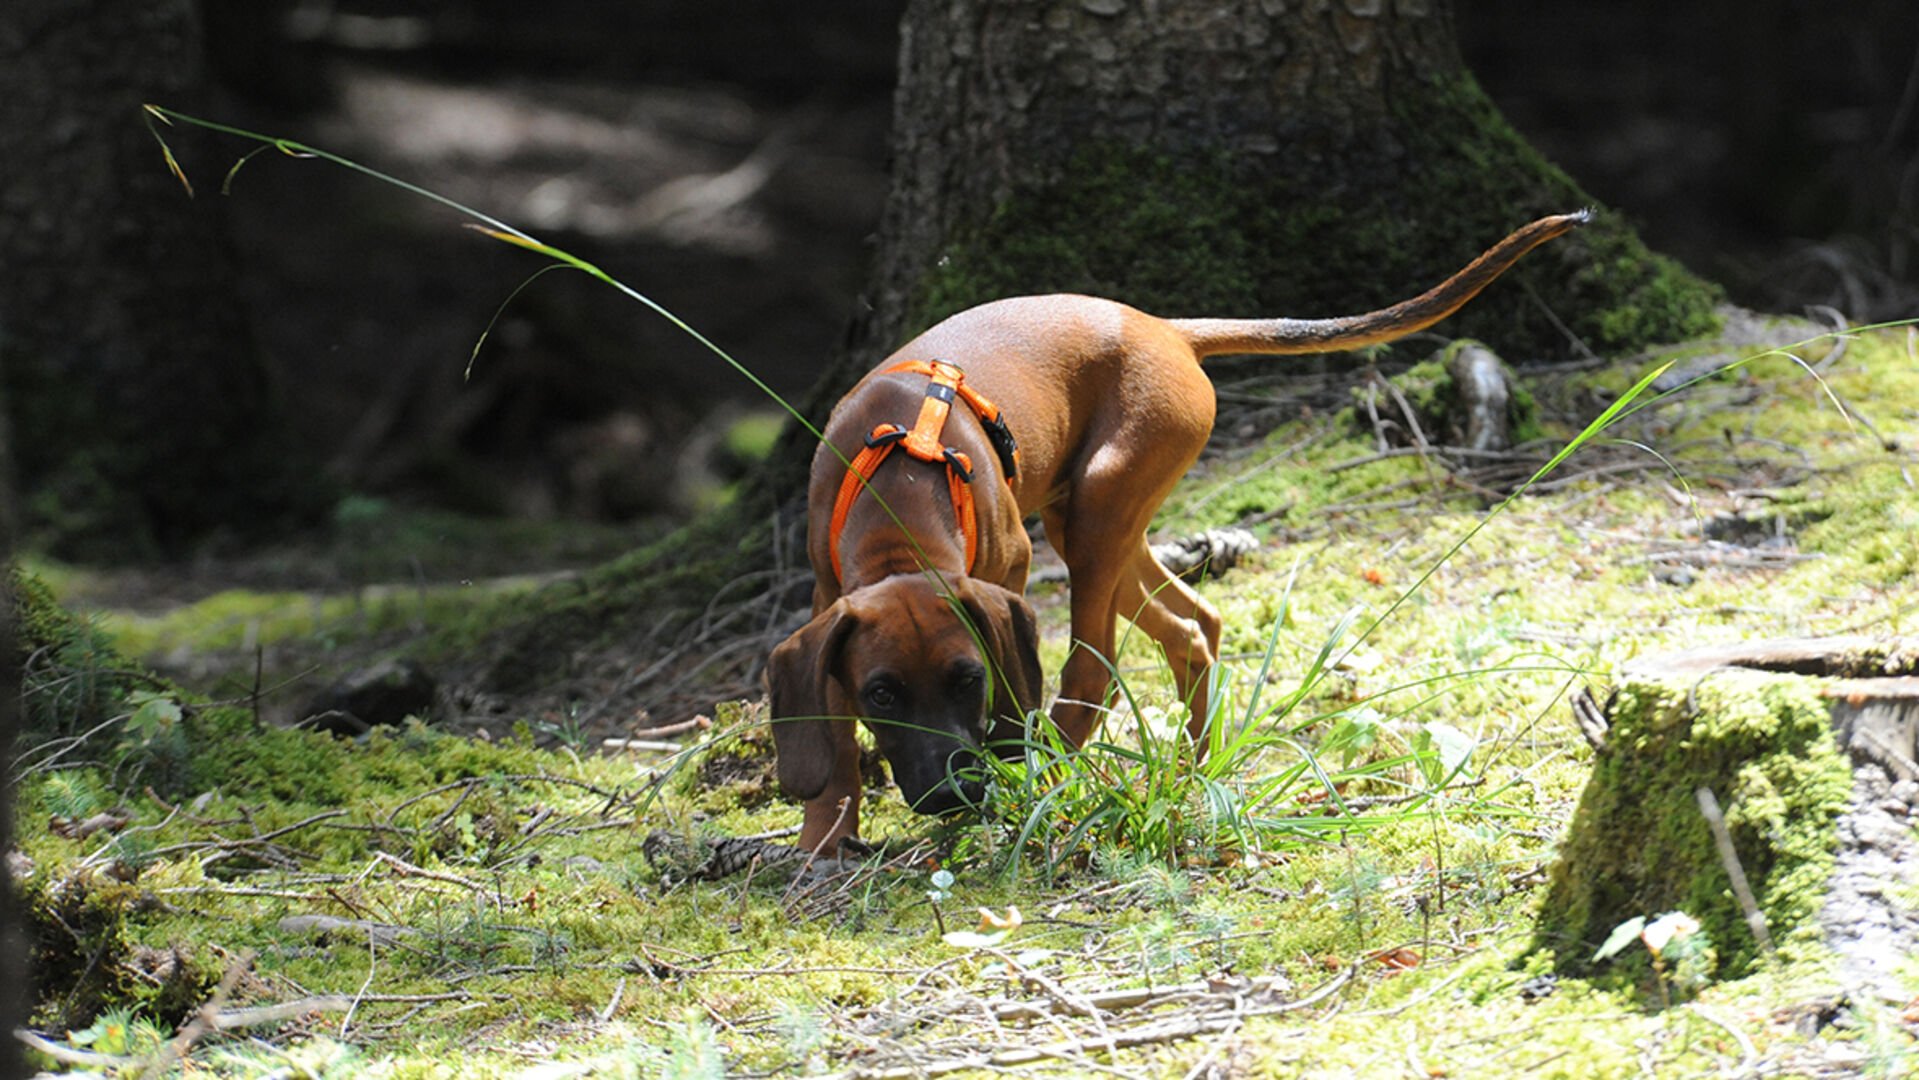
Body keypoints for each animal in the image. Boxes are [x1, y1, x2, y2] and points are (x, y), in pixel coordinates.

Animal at [767, 211, 1588, 855]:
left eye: (967, 678)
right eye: (881, 692)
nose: (951, 797)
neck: (903, 489)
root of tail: (1166, 328)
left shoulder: (1007, 576)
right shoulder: (825, 598)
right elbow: (830, 733)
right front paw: (823, 838)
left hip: (1097, 510)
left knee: (1093, 674)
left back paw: (1057, 779)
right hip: (1096, 517)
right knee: (1194, 625)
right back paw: (1193, 767)